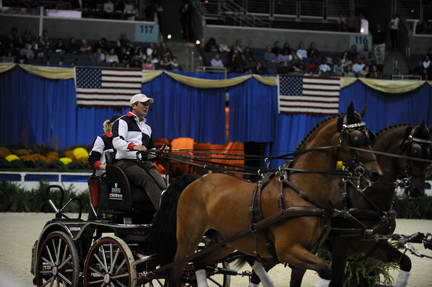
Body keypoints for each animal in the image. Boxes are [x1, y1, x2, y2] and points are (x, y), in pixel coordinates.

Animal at [148, 104, 382, 287]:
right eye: (356, 138)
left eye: (370, 137)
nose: (376, 173)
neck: (301, 193)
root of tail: (197, 180)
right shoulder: (289, 249)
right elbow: (326, 269)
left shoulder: (305, 254)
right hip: (188, 238)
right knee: (175, 273)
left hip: (223, 241)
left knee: (199, 263)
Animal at [284, 122, 432, 287]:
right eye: (416, 150)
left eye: (429, 151)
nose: (418, 190)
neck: (364, 195)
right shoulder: (340, 248)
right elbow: (336, 280)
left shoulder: (373, 245)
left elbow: (406, 262)